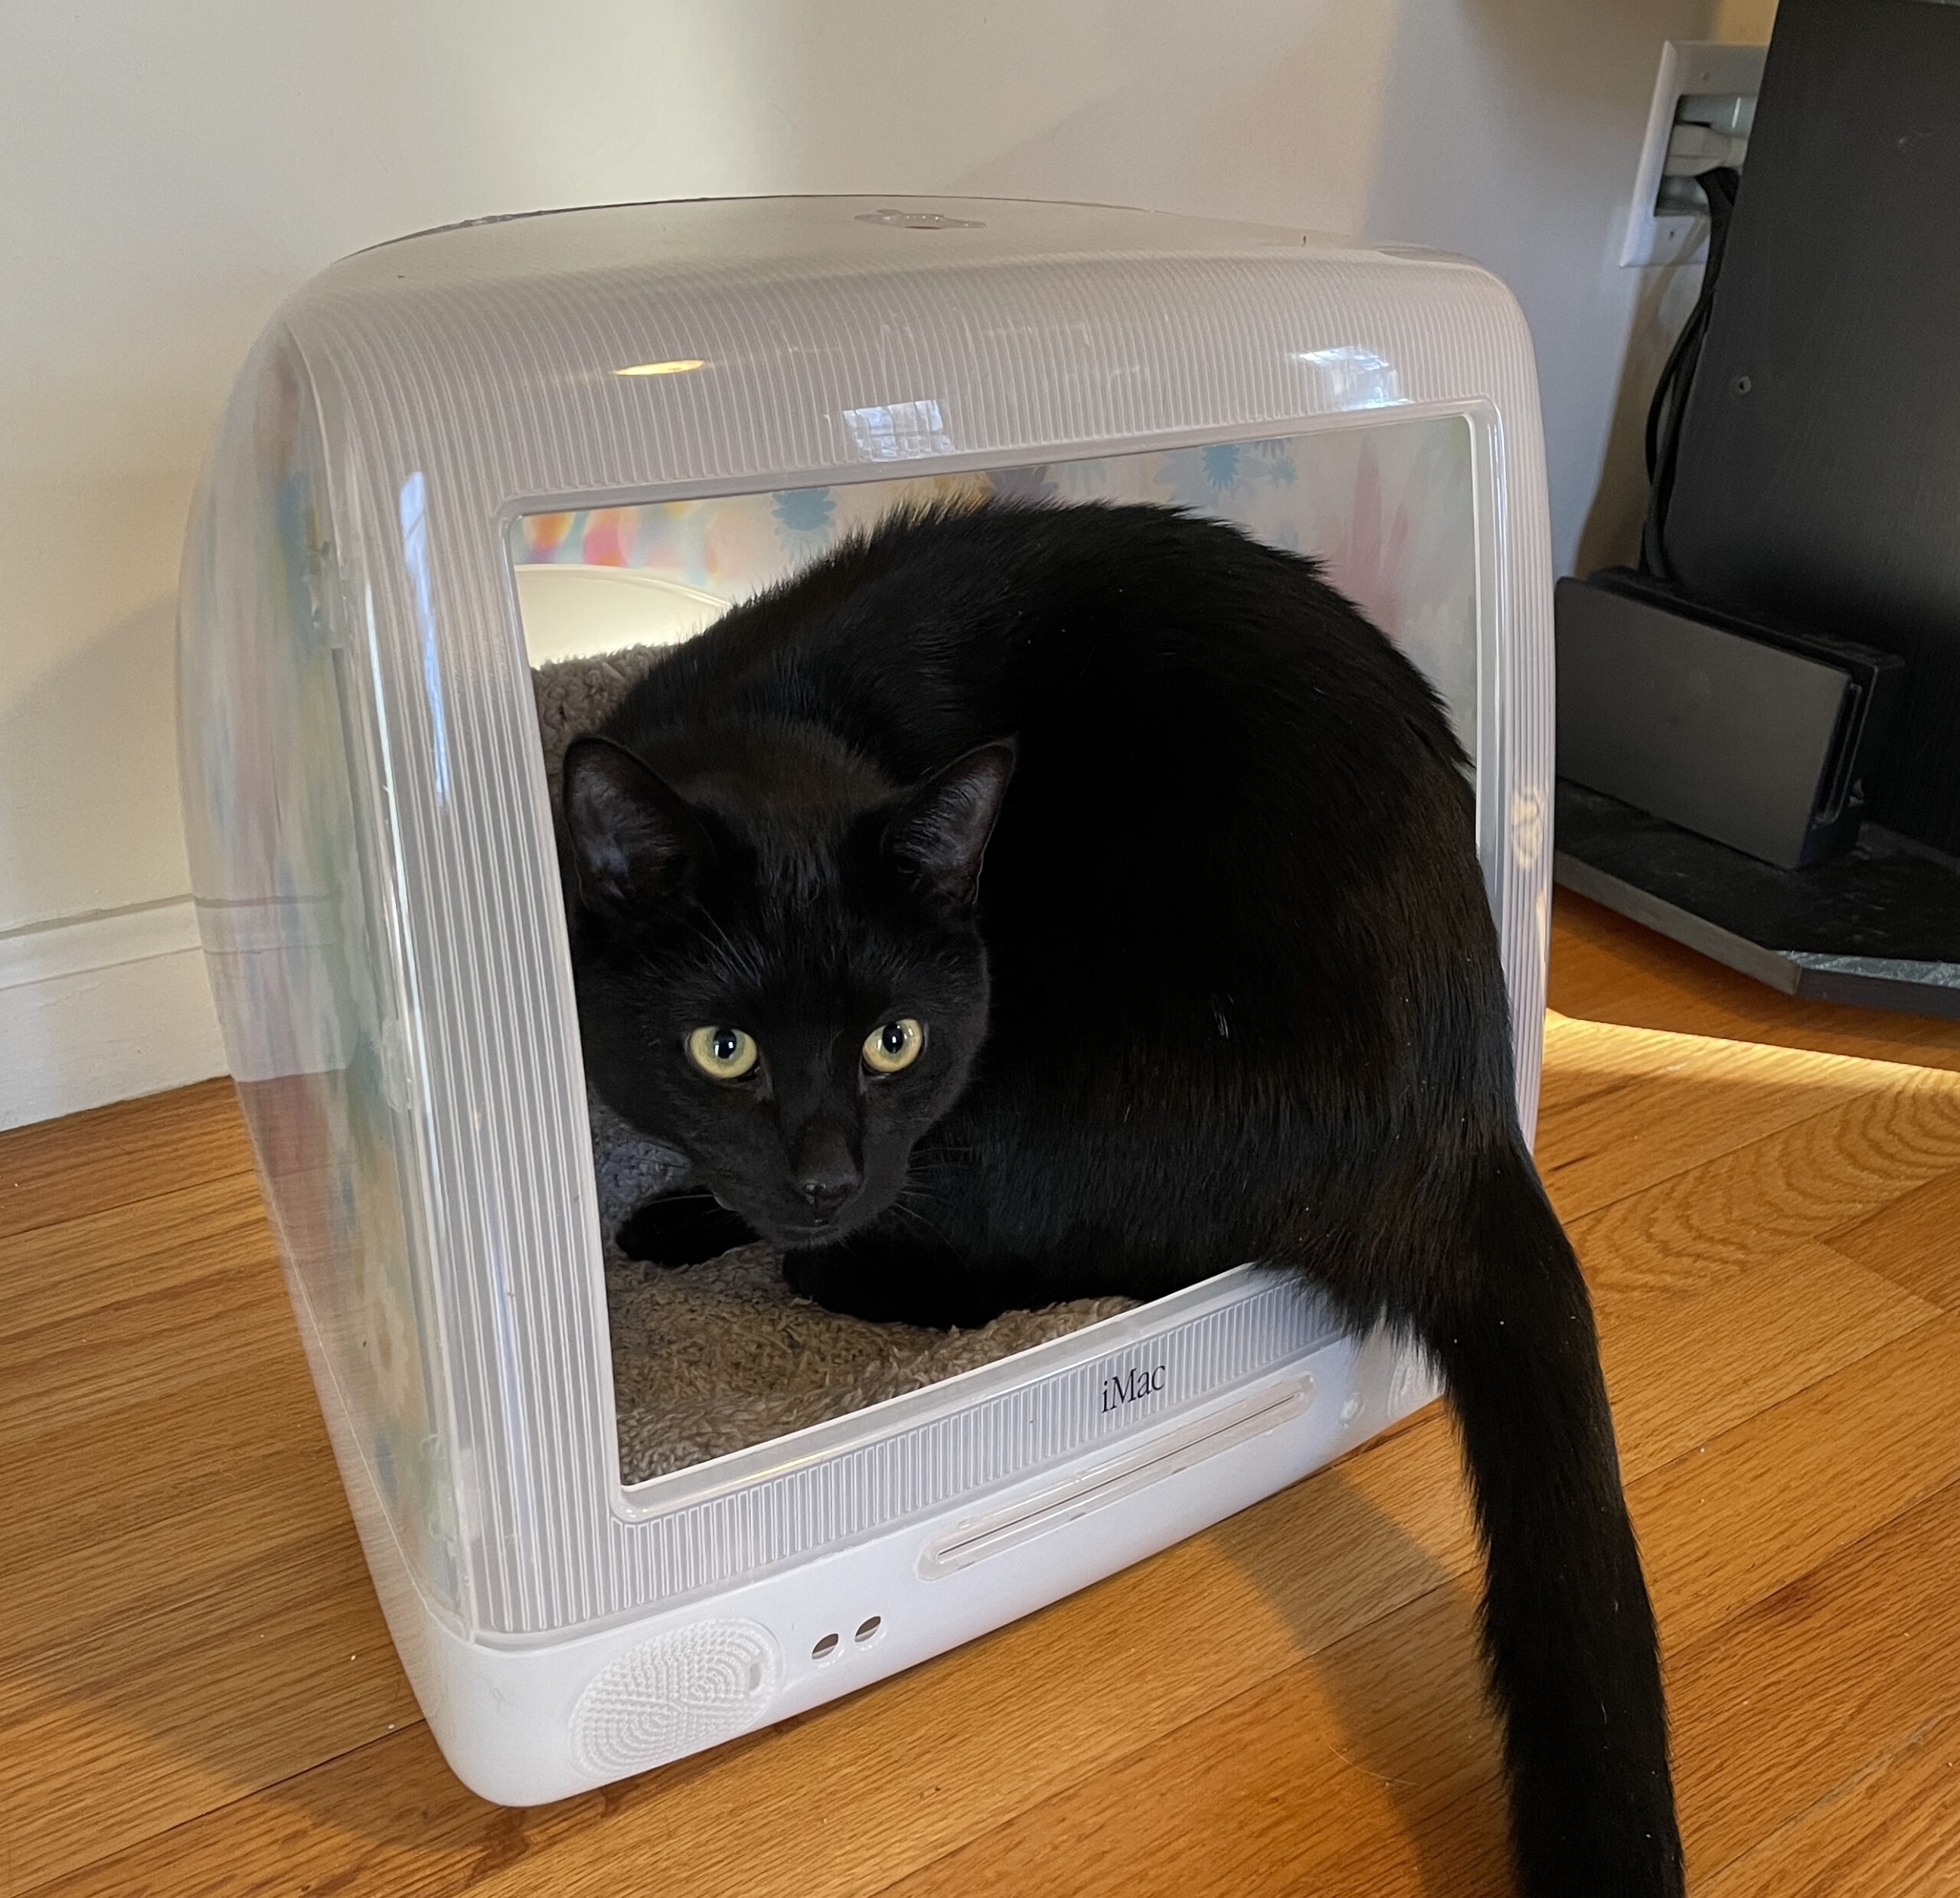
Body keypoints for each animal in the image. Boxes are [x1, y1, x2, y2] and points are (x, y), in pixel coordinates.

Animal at [564, 495, 1685, 1890]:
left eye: (894, 1040)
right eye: (726, 1048)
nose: (826, 1171)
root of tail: (1469, 1108)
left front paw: (698, 1221)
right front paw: (689, 1201)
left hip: (1088, 1077)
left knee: (1098, 1255)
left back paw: (845, 1266)